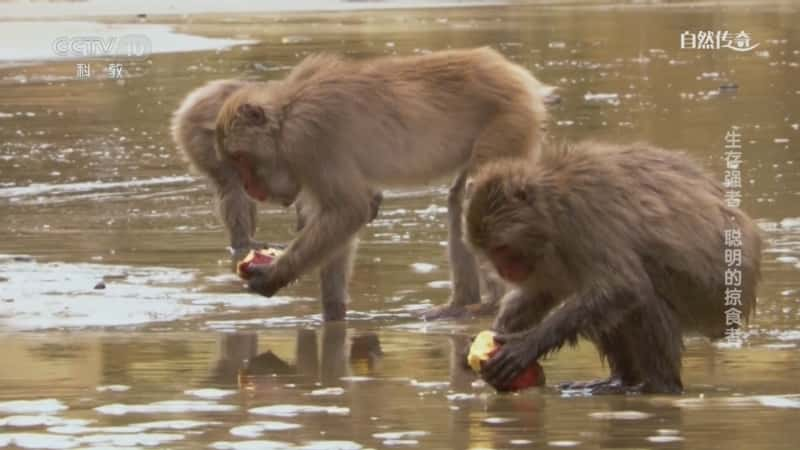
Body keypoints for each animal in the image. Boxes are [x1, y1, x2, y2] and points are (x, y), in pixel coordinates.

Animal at [214, 47, 552, 318]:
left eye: (241, 159)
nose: (249, 188)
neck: (286, 117)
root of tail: (513, 71)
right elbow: (338, 221)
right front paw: (333, 315)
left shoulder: (310, 142)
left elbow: (348, 211)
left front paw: (272, 276)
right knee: (459, 200)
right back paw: (460, 304)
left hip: (511, 118)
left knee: (474, 197)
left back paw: (492, 304)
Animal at [468, 142, 764, 394]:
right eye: (488, 251)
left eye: (501, 249)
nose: (503, 271)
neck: (550, 211)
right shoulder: (542, 259)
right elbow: (540, 294)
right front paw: (499, 330)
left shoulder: (582, 216)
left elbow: (623, 286)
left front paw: (525, 345)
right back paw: (620, 380)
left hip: (711, 297)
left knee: (643, 297)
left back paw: (660, 385)